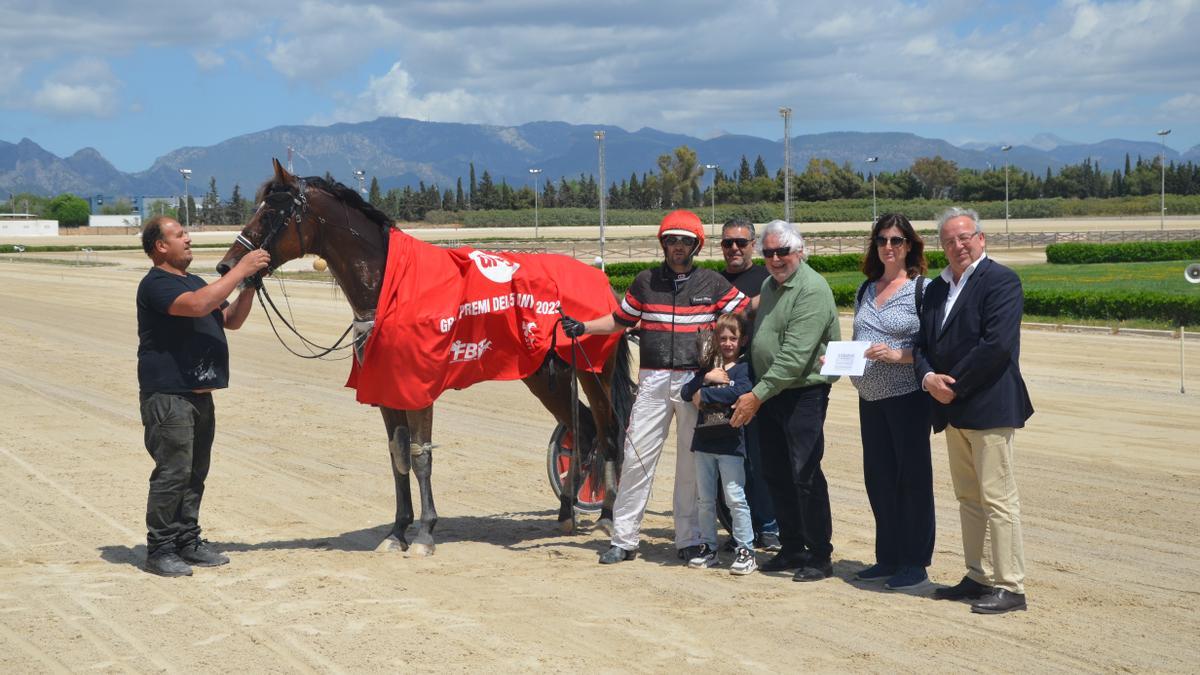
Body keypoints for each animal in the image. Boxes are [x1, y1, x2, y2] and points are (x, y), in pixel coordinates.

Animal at [213, 159, 638, 554]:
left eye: (271, 212)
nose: (226, 266)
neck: (392, 288)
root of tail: (602, 281)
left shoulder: (418, 389)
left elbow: (420, 456)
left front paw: (425, 532)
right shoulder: (386, 389)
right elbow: (398, 457)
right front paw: (397, 530)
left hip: (593, 370)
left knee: (607, 429)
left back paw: (606, 515)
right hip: (545, 375)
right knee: (580, 429)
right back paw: (567, 511)